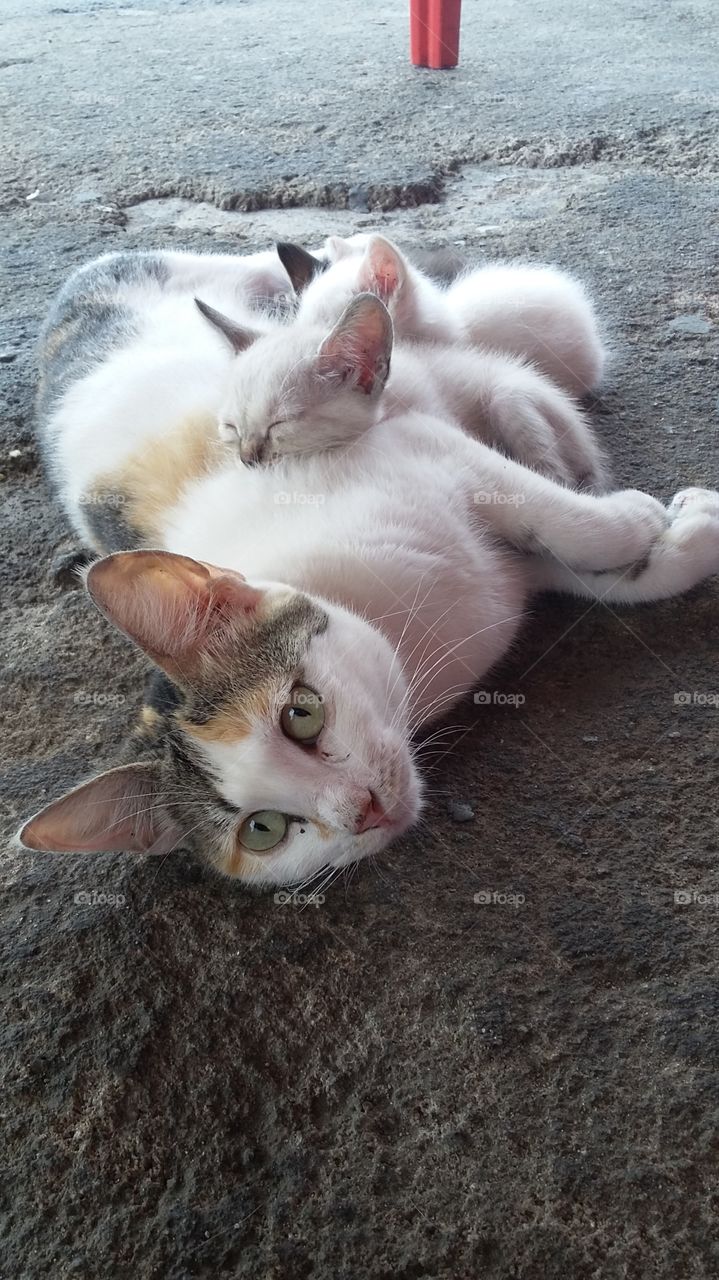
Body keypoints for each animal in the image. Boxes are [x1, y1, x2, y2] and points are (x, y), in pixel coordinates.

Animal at [20, 249, 716, 890]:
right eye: (263, 829)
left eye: (301, 714)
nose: (363, 810)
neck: (406, 658)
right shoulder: (508, 565)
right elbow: (582, 570)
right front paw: (680, 539)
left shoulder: (423, 445)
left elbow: (552, 515)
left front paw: (637, 523)